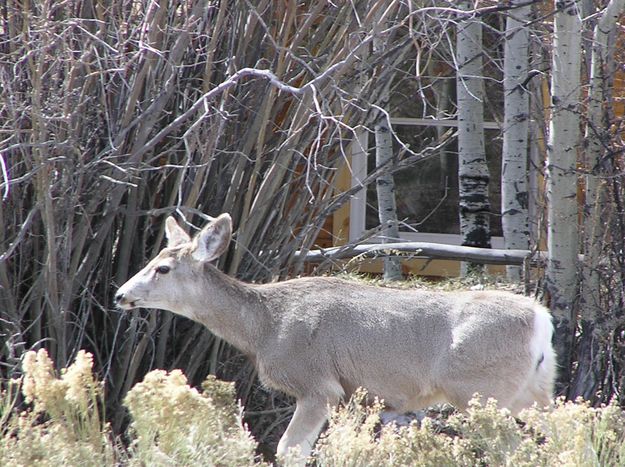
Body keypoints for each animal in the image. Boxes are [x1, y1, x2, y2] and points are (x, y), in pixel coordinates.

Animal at [116, 214, 556, 462]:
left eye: (163, 268)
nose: (121, 295)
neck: (265, 326)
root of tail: (540, 318)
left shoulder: (317, 385)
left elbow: (289, 450)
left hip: (481, 391)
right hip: (534, 391)